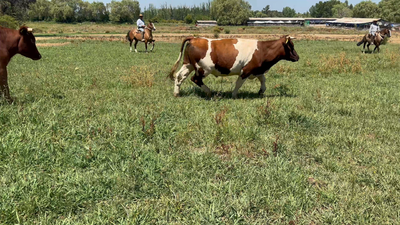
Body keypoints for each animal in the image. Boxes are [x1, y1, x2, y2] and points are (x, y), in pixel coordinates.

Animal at [167, 35, 298, 97]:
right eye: (291, 46)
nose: (297, 57)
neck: (262, 49)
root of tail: (194, 38)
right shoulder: (246, 70)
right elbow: (238, 83)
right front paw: (234, 95)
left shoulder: (257, 70)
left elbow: (263, 81)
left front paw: (261, 91)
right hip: (203, 69)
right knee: (195, 79)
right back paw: (209, 92)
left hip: (188, 64)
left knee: (179, 76)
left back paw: (176, 93)